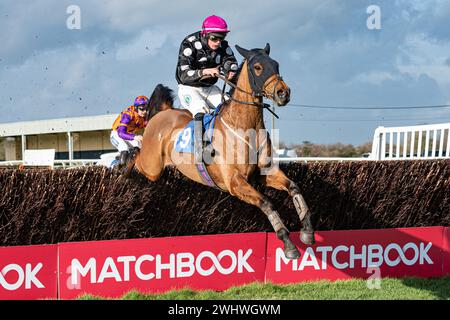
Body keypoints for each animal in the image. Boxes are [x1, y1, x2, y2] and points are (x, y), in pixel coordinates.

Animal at [132, 43, 314, 258]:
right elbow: (267, 203)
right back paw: (125, 163)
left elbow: (294, 187)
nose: (283, 93)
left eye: (276, 64)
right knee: (137, 159)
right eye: (258, 67)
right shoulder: (235, 182)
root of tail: (164, 112)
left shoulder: (264, 173)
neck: (245, 127)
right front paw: (288, 244)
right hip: (152, 167)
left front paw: (307, 232)